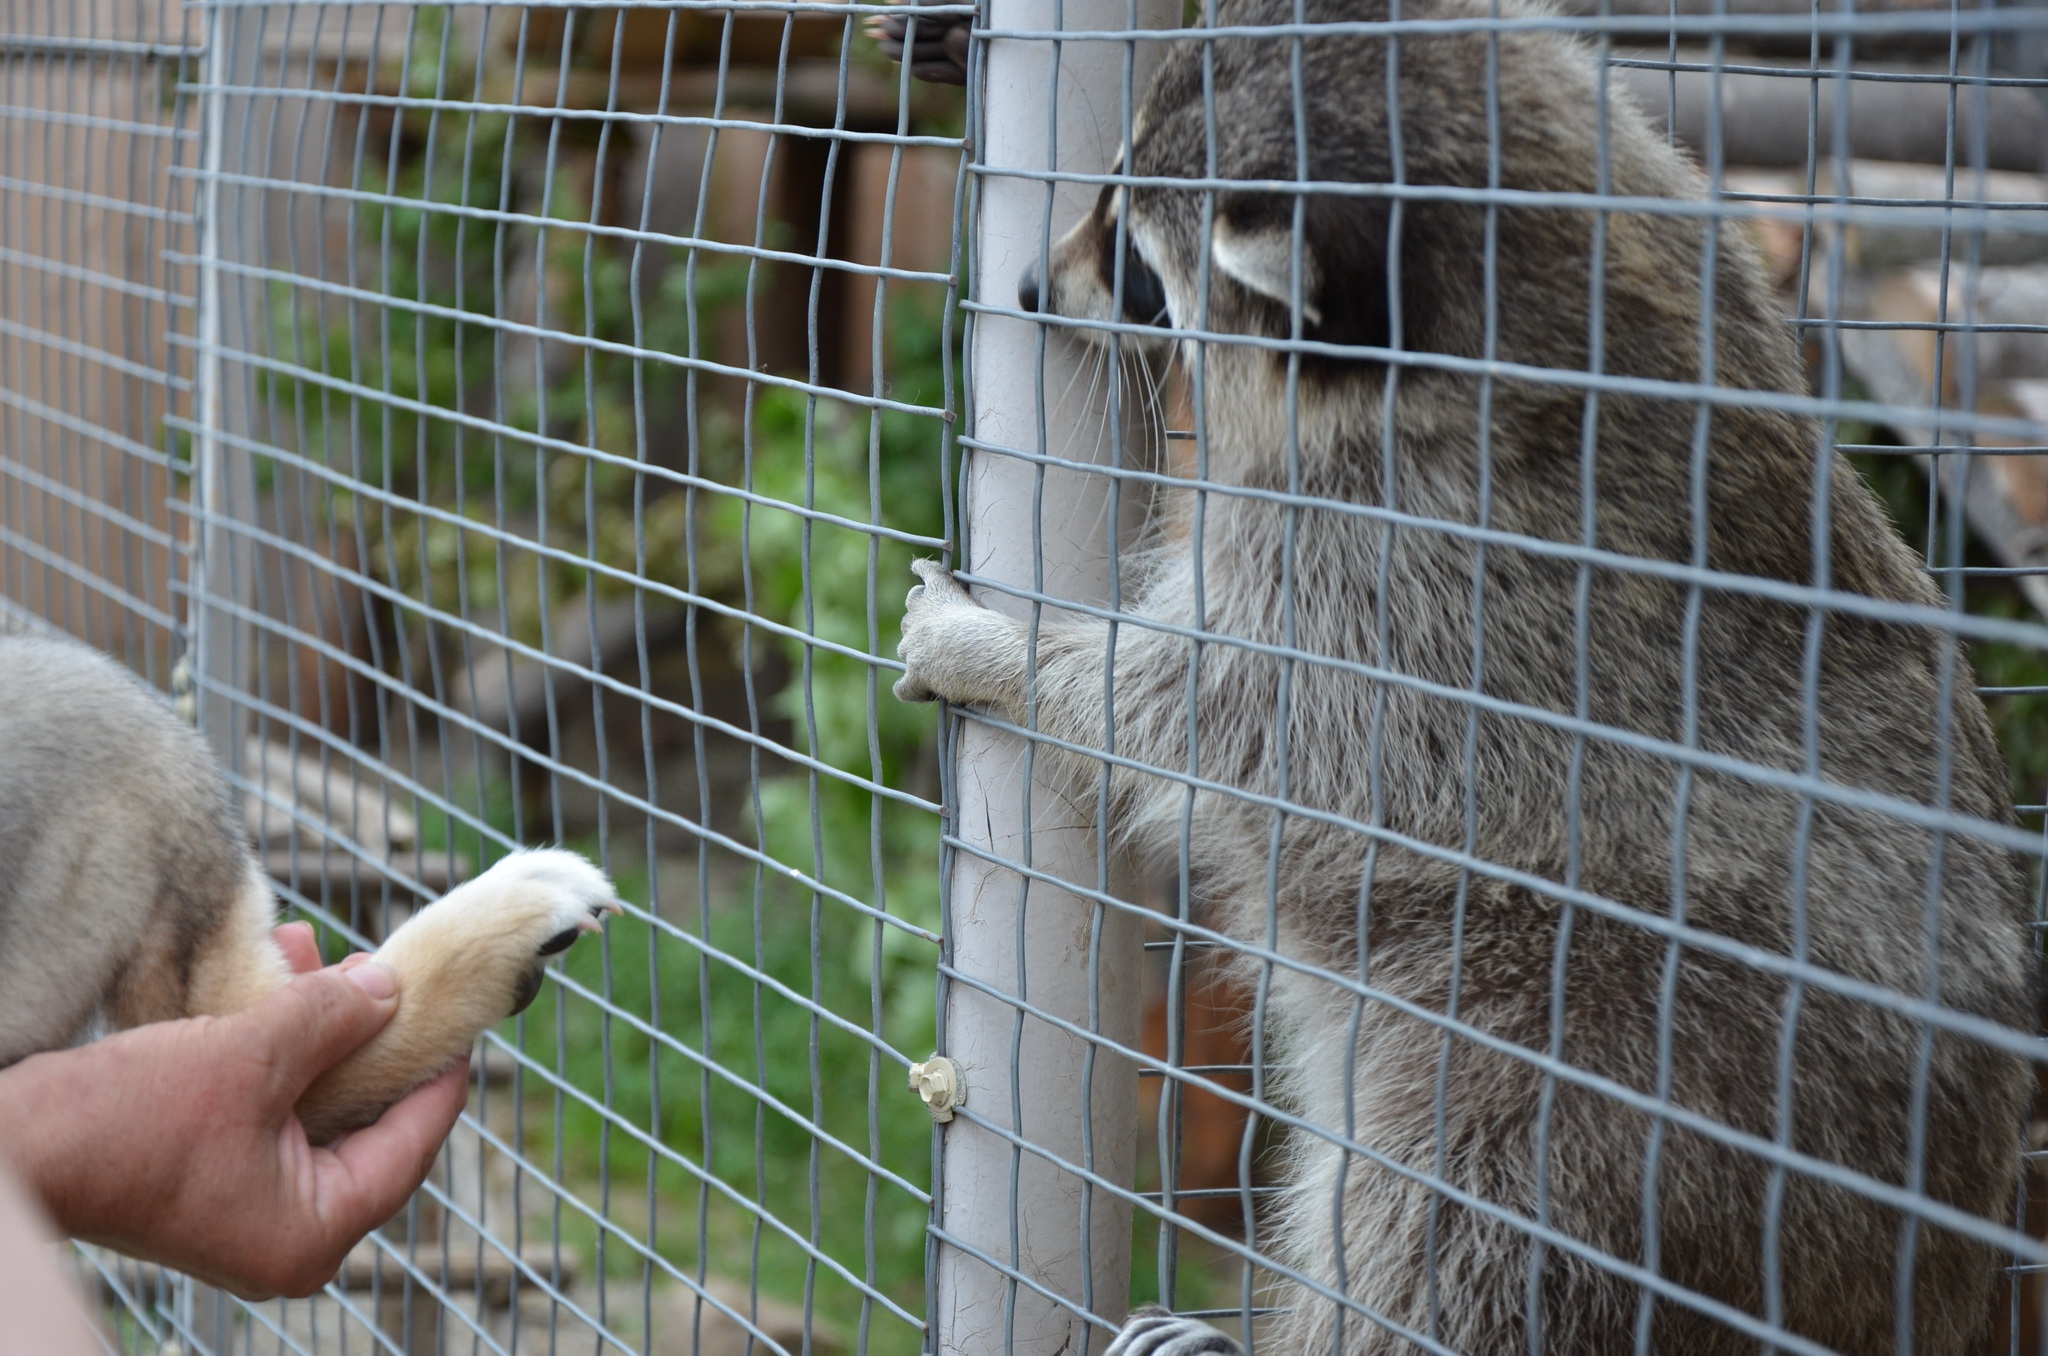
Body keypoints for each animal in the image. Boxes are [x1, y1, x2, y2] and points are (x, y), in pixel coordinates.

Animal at [901, 2, 2048, 1356]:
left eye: (1137, 263)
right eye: (1109, 192)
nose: (1030, 287)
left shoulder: (1427, 593)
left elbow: (1219, 725)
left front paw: (1011, 659)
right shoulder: (1657, 206)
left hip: (1629, 1072)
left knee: (1455, 1226)